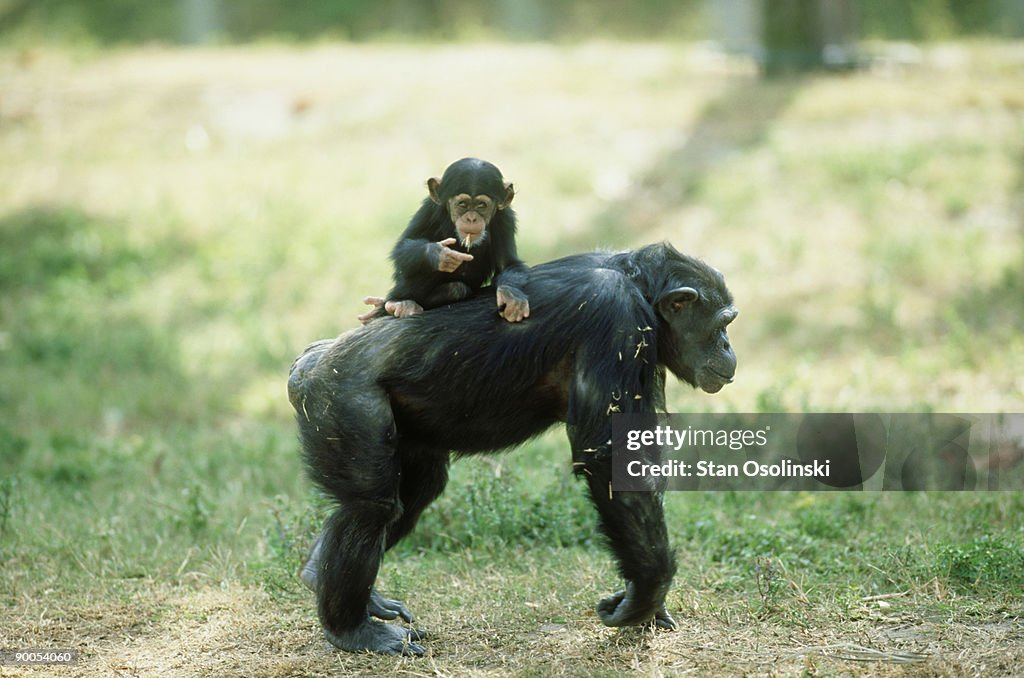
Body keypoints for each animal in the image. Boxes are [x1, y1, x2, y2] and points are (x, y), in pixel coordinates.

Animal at [288, 241, 737, 655]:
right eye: (722, 323)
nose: (729, 347)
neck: (637, 283)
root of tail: (305, 363)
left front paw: (646, 602)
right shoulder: (617, 318)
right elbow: (610, 456)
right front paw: (645, 594)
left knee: (418, 489)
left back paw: (323, 577)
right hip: (341, 399)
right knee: (370, 507)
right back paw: (352, 629)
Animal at [358, 156, 532, 323]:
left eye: (482, 205)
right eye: (462, 204)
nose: (471, 218)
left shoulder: (505, 218)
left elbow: (508, 263)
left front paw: (511, 296)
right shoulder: (429, 208)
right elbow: (402, 247)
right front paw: (440, 254)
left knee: (456, 289)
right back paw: (399, 304)